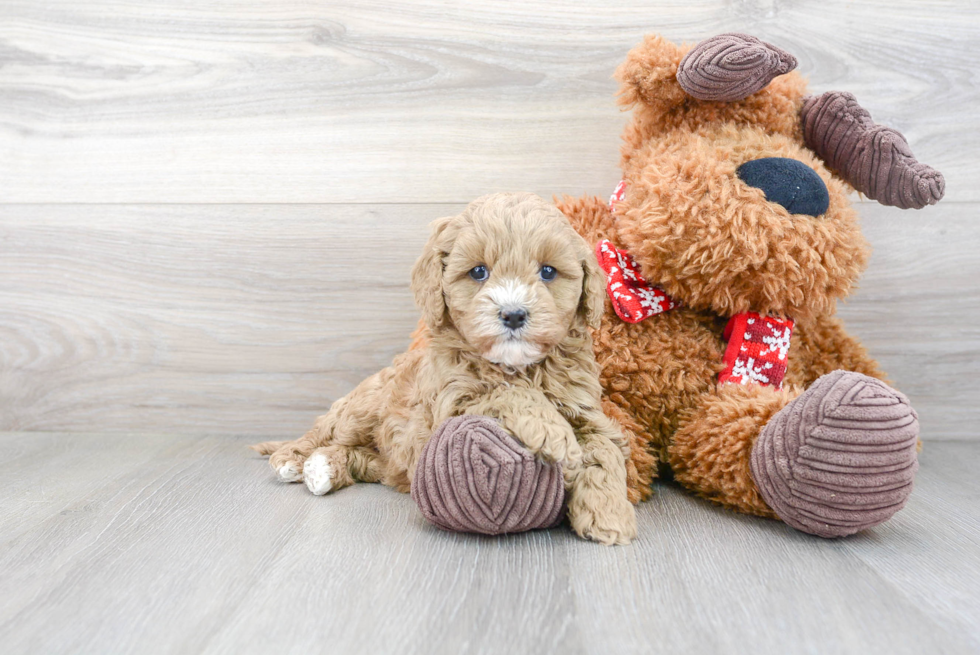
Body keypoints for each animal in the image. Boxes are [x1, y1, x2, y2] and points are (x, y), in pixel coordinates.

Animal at [253, 192, 636, 544]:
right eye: (478, 271)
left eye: (548, 272)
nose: (513, 314)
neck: (517, 367)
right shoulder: (450, 405)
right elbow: (506, 394)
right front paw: (551, 431)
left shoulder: (587, 412)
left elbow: (605, 452)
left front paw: (608, 514)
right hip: (361, 408)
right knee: (324, 431)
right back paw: (292, 458)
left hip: (388, 457)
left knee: (362, 458)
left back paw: (323, 469)